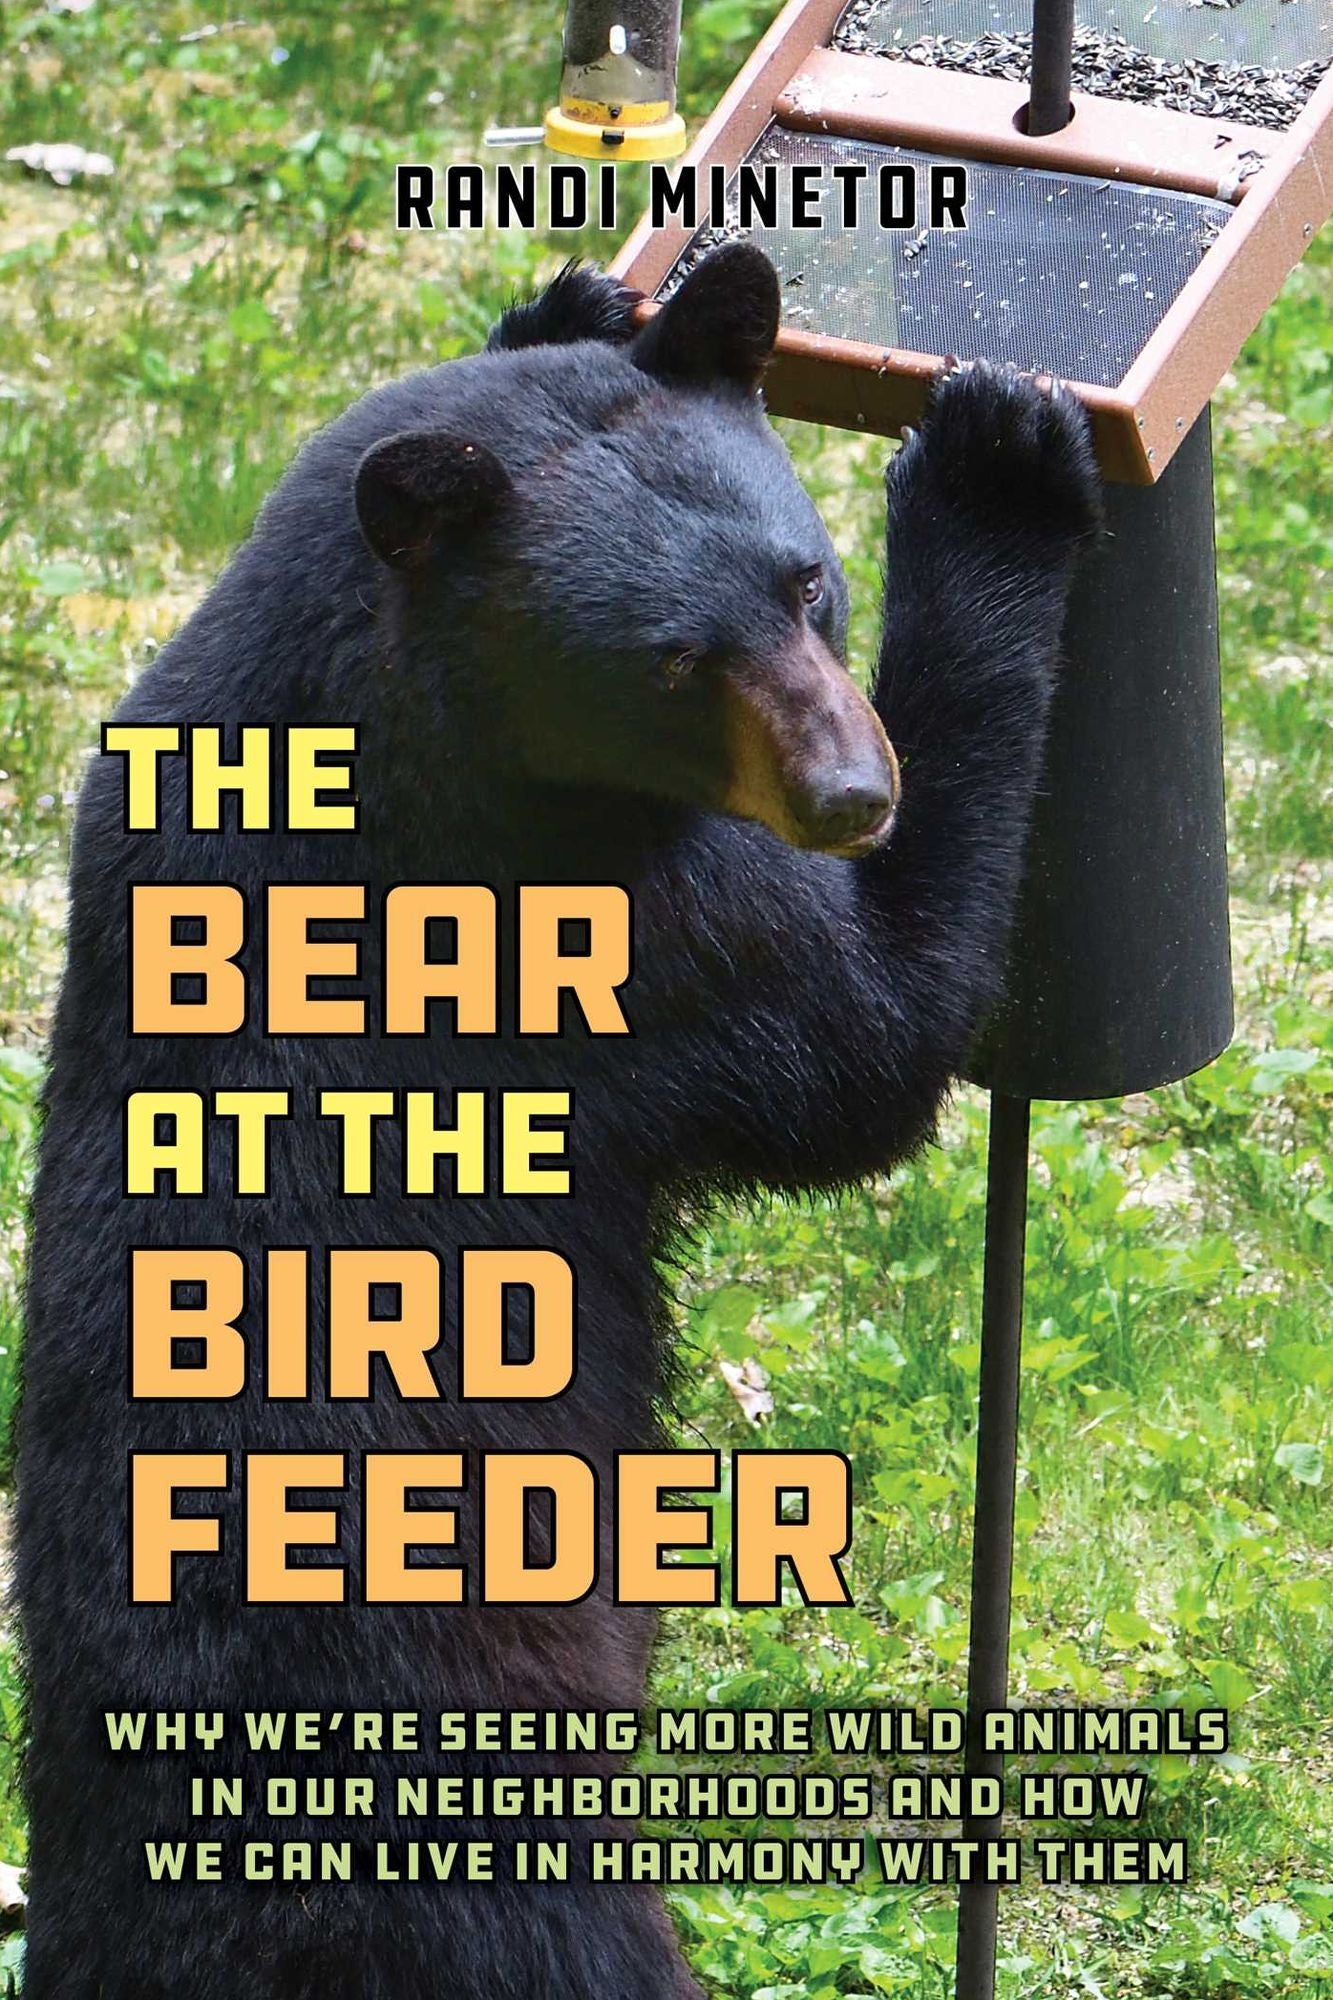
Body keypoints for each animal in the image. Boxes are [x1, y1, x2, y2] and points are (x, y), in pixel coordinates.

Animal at [17, 242, 1101, 1998]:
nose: (852, 794)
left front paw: (577, 300)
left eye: (806, 587)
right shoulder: (632, 930)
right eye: (672, 658)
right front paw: (997, 460)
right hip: (513, 1876)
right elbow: (868, 1035)